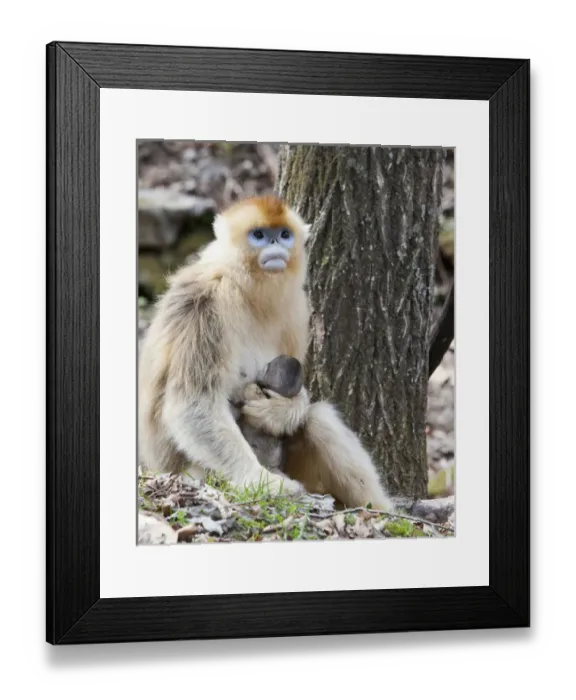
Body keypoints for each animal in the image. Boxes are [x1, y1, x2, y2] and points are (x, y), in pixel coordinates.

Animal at [138, 194, 393, 510]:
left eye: (283, 235)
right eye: (258, 235)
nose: (274, 244)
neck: (245, 289)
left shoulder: (297, 308)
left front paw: (281, 411)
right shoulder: (204, 302)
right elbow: (192, 404)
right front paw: (261, 481)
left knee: (319, 419)